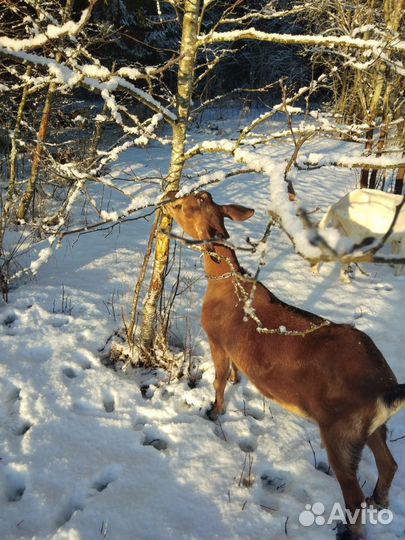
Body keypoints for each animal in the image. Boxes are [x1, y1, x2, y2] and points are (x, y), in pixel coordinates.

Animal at [164, 190, 404, 540]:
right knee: (389, 464)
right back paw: (380, 501)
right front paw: (236, 382)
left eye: (186, 206)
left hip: (341, 430)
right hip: (371, 427)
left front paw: (213, 411)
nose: (169, 197)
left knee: (352, 493)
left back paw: (349, 530)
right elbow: (233, 371)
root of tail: (386, 388)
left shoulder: (216, 339)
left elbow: (218, 379)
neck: (225, 285)